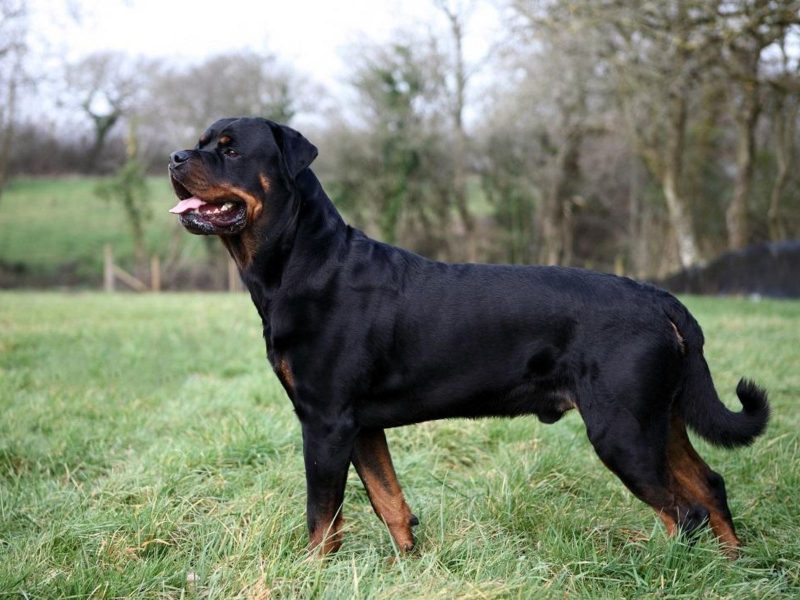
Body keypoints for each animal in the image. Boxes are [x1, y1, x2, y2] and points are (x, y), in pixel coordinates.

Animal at [167, 117, 768, 556]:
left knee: (683, 511)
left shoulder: (325, 422)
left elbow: (322, 520)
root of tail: (661, 299)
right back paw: (734, 564)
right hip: (659, 420)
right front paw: (408, 566)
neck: (302, 260)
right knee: (709, 487)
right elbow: (389, 502)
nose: (174, 157)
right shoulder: (360, 426)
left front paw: (314, 573)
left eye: (229, 150)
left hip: (622, 430)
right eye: (200, 142)